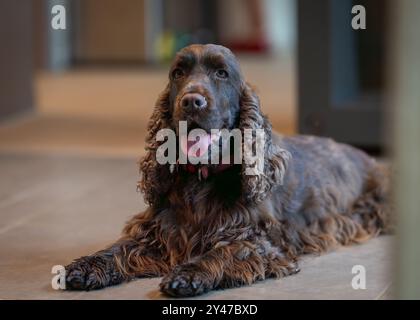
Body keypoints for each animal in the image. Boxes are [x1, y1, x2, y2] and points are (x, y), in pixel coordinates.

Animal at [64, 43, 392, 296]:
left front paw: (188, 274)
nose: (191, 101)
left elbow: (224, 250)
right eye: (178, 73)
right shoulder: (156, 230)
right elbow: (118, 247)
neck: (200, 178)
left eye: (221, 73)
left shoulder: (259, 241)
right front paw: (86, 266)